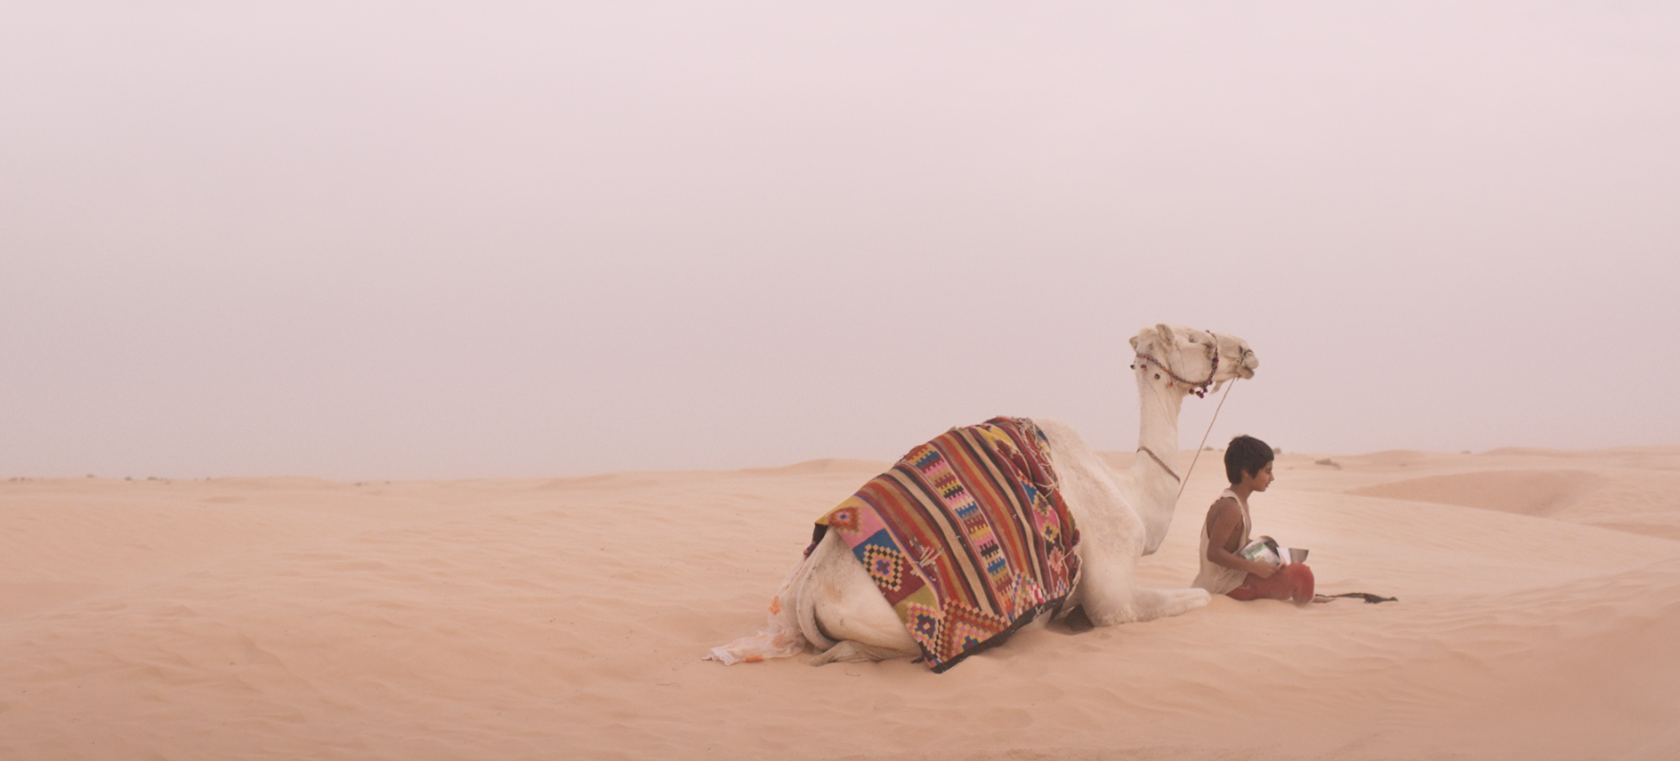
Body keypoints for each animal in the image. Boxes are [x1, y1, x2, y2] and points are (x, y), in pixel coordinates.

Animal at [709, 324, 1259, 667]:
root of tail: (806, 592)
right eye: (1197, 338)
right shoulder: (1114, 595)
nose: (1247, 351)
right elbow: (1194, 597)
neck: (1131, 491)